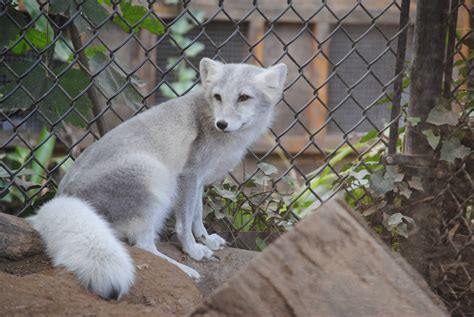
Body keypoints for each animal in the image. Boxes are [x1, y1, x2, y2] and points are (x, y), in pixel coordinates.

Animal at [30, 57, 288, 298]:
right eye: (218, 97)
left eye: (244, 97)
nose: (222, 123)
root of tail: (63, 197)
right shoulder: (188, 175)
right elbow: (184, 223)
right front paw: (193, 251)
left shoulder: (199, 180)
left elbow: (197, 216)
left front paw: (205, 240)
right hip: (154, 180)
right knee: (144, 246)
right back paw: (185, 271)